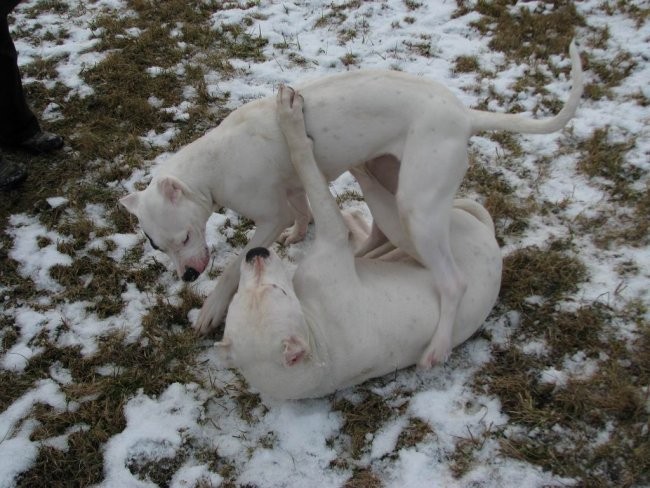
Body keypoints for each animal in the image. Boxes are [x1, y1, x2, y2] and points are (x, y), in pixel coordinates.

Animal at [119, 43, 580, 368]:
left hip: (417, 208)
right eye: (157, 246)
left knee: (453, 282)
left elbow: (235, 264)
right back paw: (365, 252)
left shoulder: (268, 214)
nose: (188, 277)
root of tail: (464, 116)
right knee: (379, 226)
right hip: (389, 175)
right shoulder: (292, 192)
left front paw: (211, 309)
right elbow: (302, 210)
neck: (213, 165)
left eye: (184, 236)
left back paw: (438, 346)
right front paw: (299, 235)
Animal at [213, 87, 502, 400]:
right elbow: (305, 163)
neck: (319, 350)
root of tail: (491, 241)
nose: (255, 252)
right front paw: (292, 121)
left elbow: (307, 170)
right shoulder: (332, 240)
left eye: (275, 290)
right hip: (408, 219)